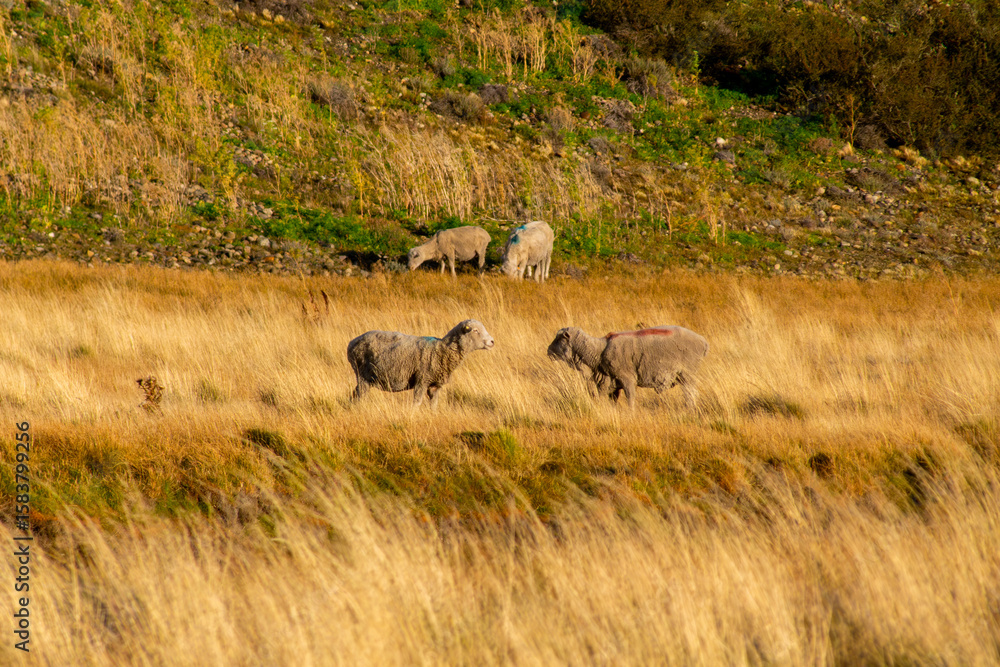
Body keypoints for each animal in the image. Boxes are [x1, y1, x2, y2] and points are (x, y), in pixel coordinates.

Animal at [348, 319, 495, 406]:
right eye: (475, 330)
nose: (492, 341)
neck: (441, 350)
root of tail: (352, 342)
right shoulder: (422, 381)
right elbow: (416, 403)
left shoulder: (434, 385)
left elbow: (434, 405)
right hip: (362, 375)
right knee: (360, 395)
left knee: (355, 394)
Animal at [547, 325, 708, 409]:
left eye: (559, 338)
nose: (548, 351)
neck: (598, 351)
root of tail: (703, 341)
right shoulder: (611, 382)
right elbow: (612, 400)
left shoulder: (627, 378)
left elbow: (630, 397)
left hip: (688, 374)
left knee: (691, 394)